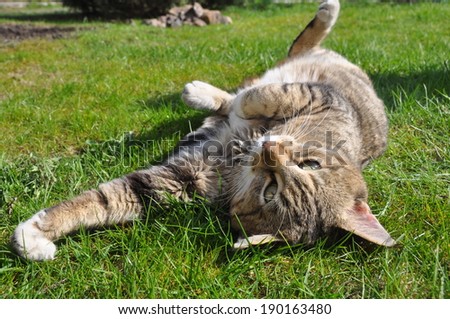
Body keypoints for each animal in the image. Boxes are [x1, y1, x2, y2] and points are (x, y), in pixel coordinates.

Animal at [10, 0, 396, 262]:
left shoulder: (180, 181)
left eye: (270, 192)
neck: (241, 156)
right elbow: (265, 96)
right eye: (311, 164)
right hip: (312, 62)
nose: (270, 151)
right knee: (296, 49)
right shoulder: (321, 98)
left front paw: (34, 236)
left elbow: (106, 200)